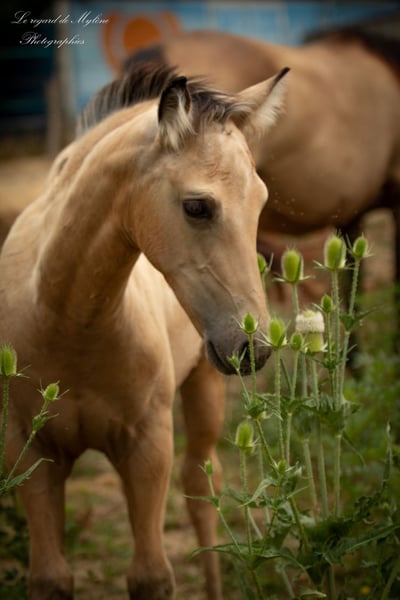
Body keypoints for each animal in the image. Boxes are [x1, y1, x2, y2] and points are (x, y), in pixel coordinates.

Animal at [0, 63, 289, 599]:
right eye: (197, 206)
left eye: (260, 201)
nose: (253, 348)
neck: (66, 320)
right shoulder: (28, 450)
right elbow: (51, 576)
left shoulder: (148, 445)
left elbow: (151, 575)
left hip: (203, 386)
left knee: (200, 489)